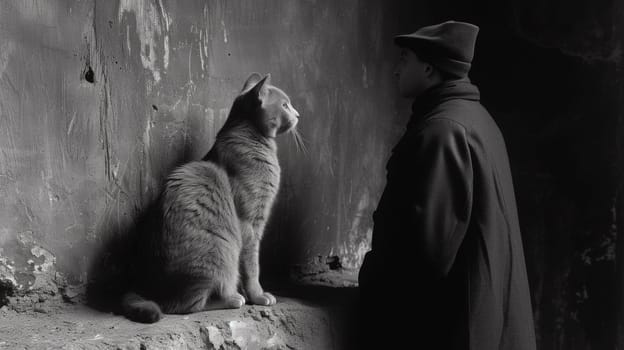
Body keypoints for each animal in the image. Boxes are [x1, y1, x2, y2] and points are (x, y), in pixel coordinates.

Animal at [121, 73, 302, 322]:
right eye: (285, 105)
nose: (298, 114)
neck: (257, 141)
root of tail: (150, 287)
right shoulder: (250, 224)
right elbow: (252, 266)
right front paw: (258, 295)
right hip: (219, 254)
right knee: (187, 305)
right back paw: (233, 298)